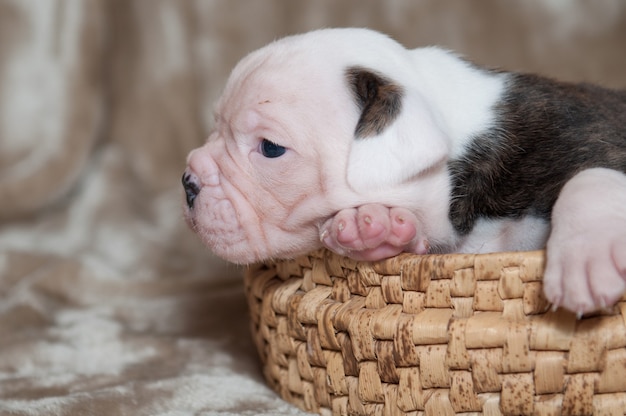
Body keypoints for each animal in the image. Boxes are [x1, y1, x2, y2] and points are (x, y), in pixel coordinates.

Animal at [182, 28, 624, 316]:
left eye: (270, 148)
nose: (187, 183)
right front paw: (367, 225)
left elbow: (590, 177)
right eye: (215, 125)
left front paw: (585, 260)